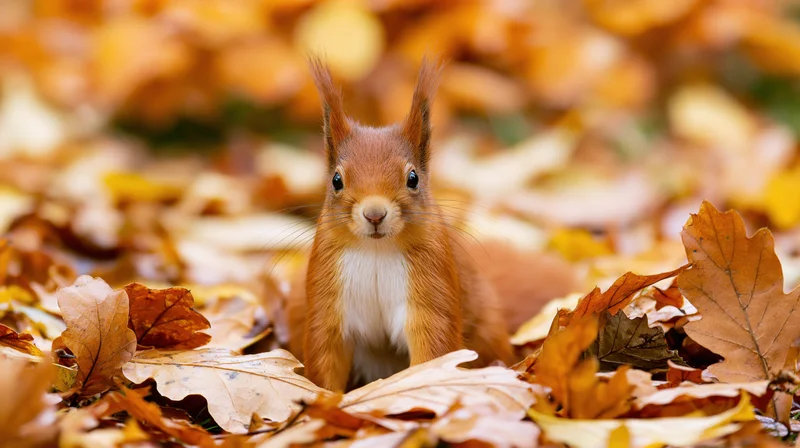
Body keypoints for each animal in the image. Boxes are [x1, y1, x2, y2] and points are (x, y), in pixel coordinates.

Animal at [286, 57, 579, 392]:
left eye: (413, 178)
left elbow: (434, 348)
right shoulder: (326, 291)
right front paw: (325, 398)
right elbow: (324, 351)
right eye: (336, 180)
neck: (376, 250)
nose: (374, 214)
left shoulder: (431, 282)